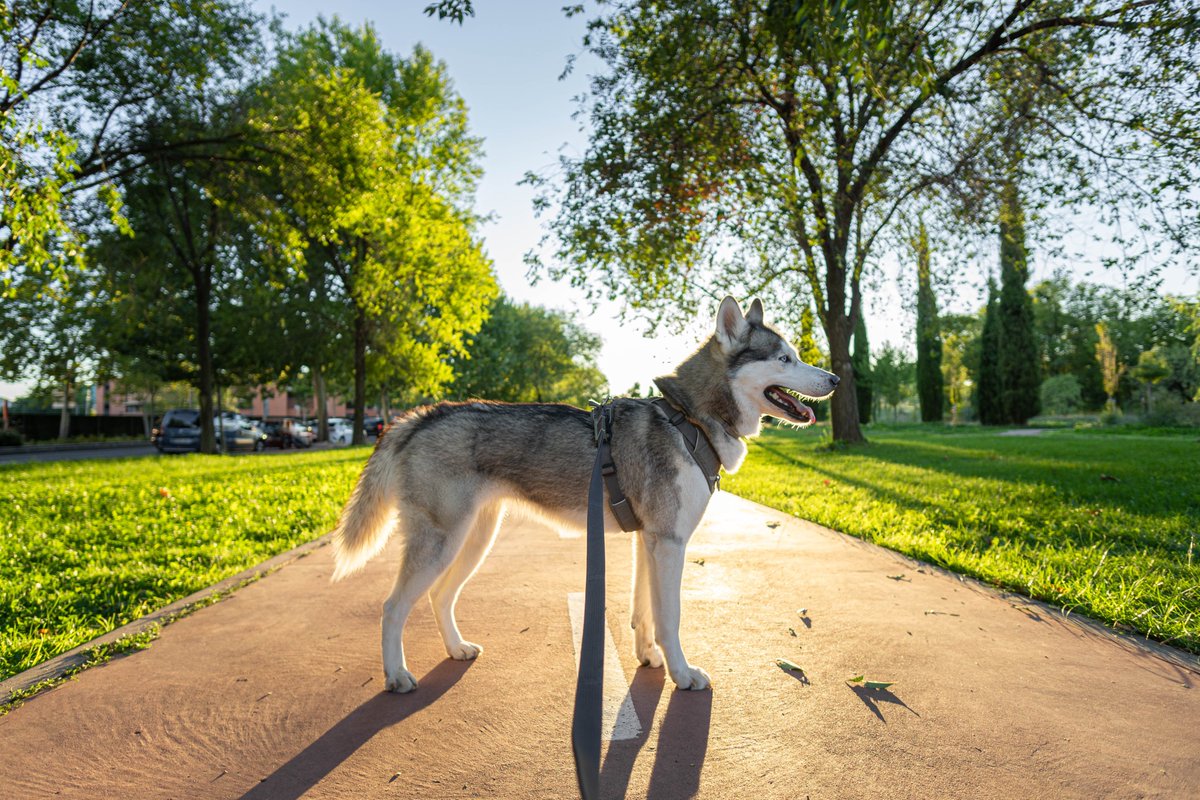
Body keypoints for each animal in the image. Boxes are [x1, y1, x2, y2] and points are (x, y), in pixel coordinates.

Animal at [328, 297, 835, 690]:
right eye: (784, 359)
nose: (833, 379)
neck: (688, 420)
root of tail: (421, 416)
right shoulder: (670, 542)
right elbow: (669, 617)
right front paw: (683, 674)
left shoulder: (648, 541)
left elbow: (643, 611)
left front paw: (649, 658)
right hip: (441, 542)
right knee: (393, 608)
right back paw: (396, 676)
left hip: (473, 539)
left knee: (439, 596)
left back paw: (455, 649)